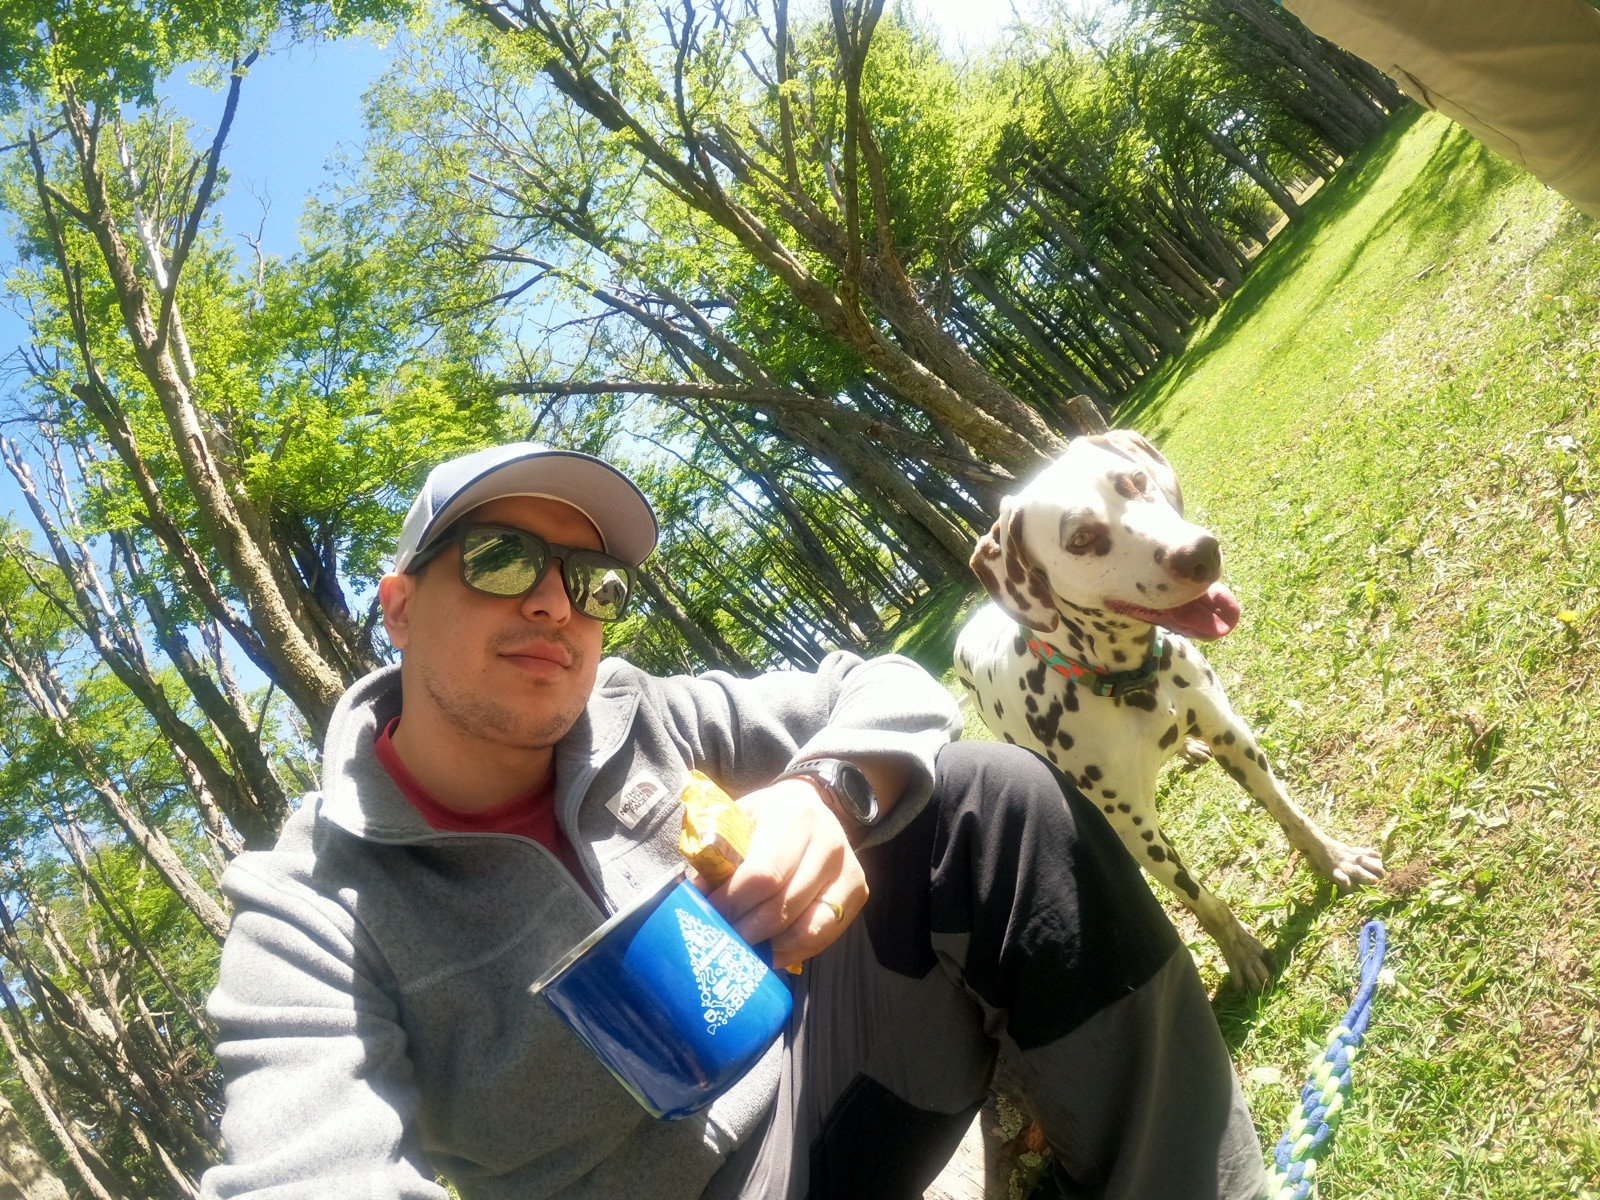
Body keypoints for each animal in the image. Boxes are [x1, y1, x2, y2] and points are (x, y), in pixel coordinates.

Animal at [953, 430, 1384, 990]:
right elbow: (1199, 897)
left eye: (1134, 481)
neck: (1131, 683)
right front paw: (1238, 948)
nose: (1199, 552)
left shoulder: (1234, 737)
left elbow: (1290, 814)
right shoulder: (1137, 829)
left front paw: (1335, 858)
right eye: (1081, 538)